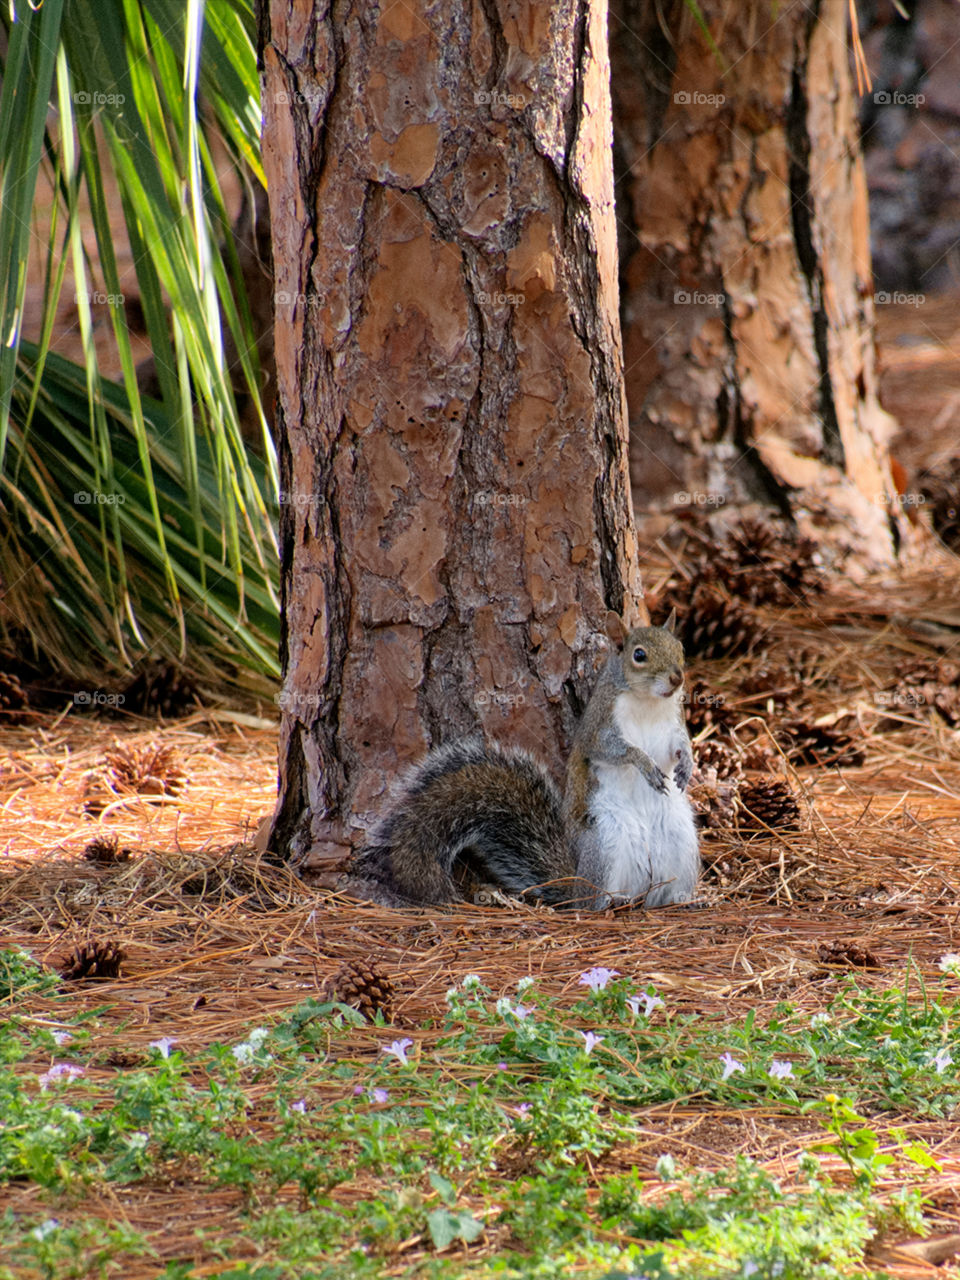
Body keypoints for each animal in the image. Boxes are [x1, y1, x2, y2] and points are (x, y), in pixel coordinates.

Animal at [350, 609, 701, 911]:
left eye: (680, 647)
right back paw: (610, 902)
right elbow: (610, 750)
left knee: (664, 892)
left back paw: (687, 900)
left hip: (682, 842)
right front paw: (643, 763)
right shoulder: (598, 726)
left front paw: (687, 764)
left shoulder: (672, 723)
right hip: (605, 843)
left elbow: (679, 744)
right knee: (589, 902)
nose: (677, 679)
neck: (648, 703)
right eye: (639, 655)